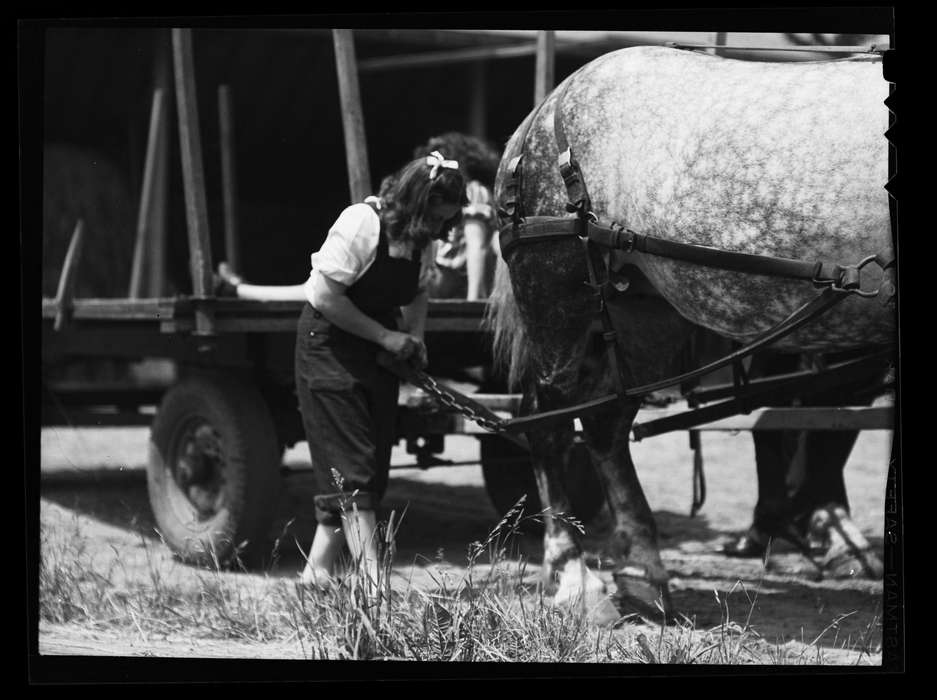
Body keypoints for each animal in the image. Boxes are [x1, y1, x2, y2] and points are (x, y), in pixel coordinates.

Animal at [490, 46, 892, 620]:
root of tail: (543, 111)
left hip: (641, 316)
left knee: (604, 426)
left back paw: (646, 574)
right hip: (555, 298)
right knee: (547, 424)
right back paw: (574, 579)